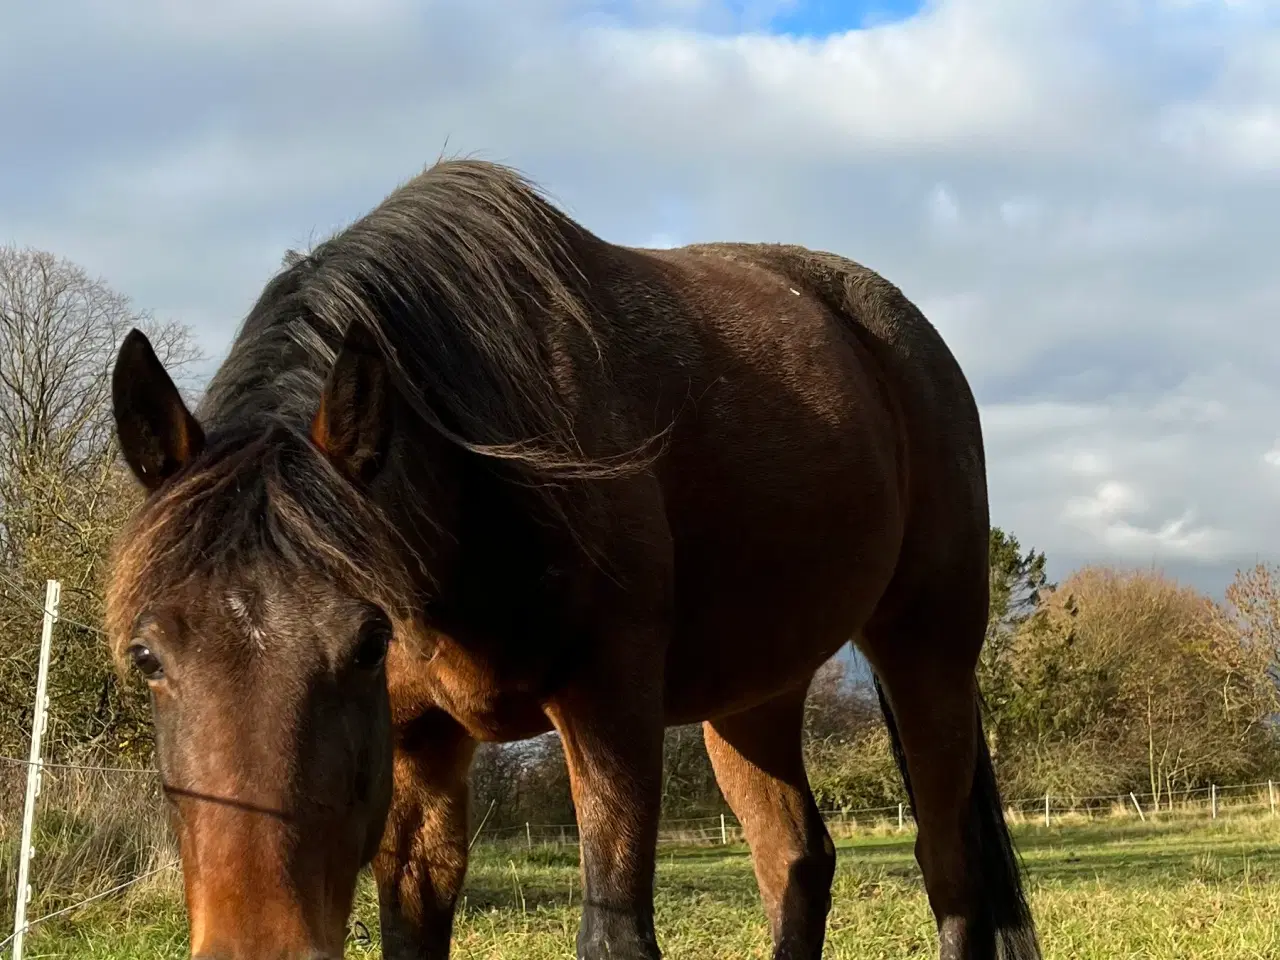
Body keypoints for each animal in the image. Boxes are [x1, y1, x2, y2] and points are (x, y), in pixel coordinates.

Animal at [102, 160, 1039, 960]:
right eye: (146, 655)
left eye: (367, 642)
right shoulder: (419, 743)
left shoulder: (609, 706)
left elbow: (614, 932)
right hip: (752, 697)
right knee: (797, 861)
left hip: (926, 652)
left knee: (948, 866)